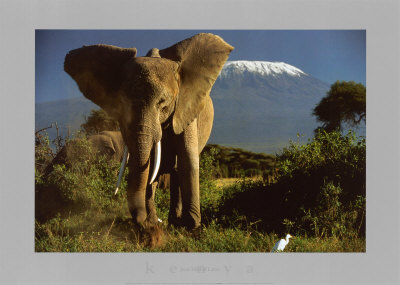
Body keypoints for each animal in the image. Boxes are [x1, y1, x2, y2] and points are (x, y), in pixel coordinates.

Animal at [64, 32, 234, 231]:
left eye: (163, 103)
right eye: (123, 102)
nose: (140, 220)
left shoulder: (186, 107)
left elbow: (187, 158)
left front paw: (191, 226)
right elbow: (150, 163)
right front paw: (151, 223)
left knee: (175, 168)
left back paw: (175, 222)